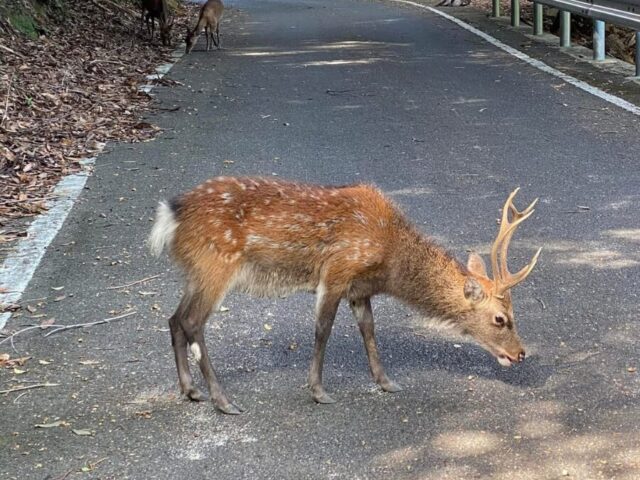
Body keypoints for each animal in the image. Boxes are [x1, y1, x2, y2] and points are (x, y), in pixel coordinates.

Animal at [149, 177, 541, 414]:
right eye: (501, 319)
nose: (521, 353)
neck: (389, 260)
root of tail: (170, 216)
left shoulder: (359, 290)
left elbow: (369, 329)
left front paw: (386, 382)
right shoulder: (337, 270)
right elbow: (323, 330)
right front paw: (318, 391)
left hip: (196, 272)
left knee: (174, 318)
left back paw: (190, 390)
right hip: (217, 265)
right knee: (193, 321)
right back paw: (222, 400)